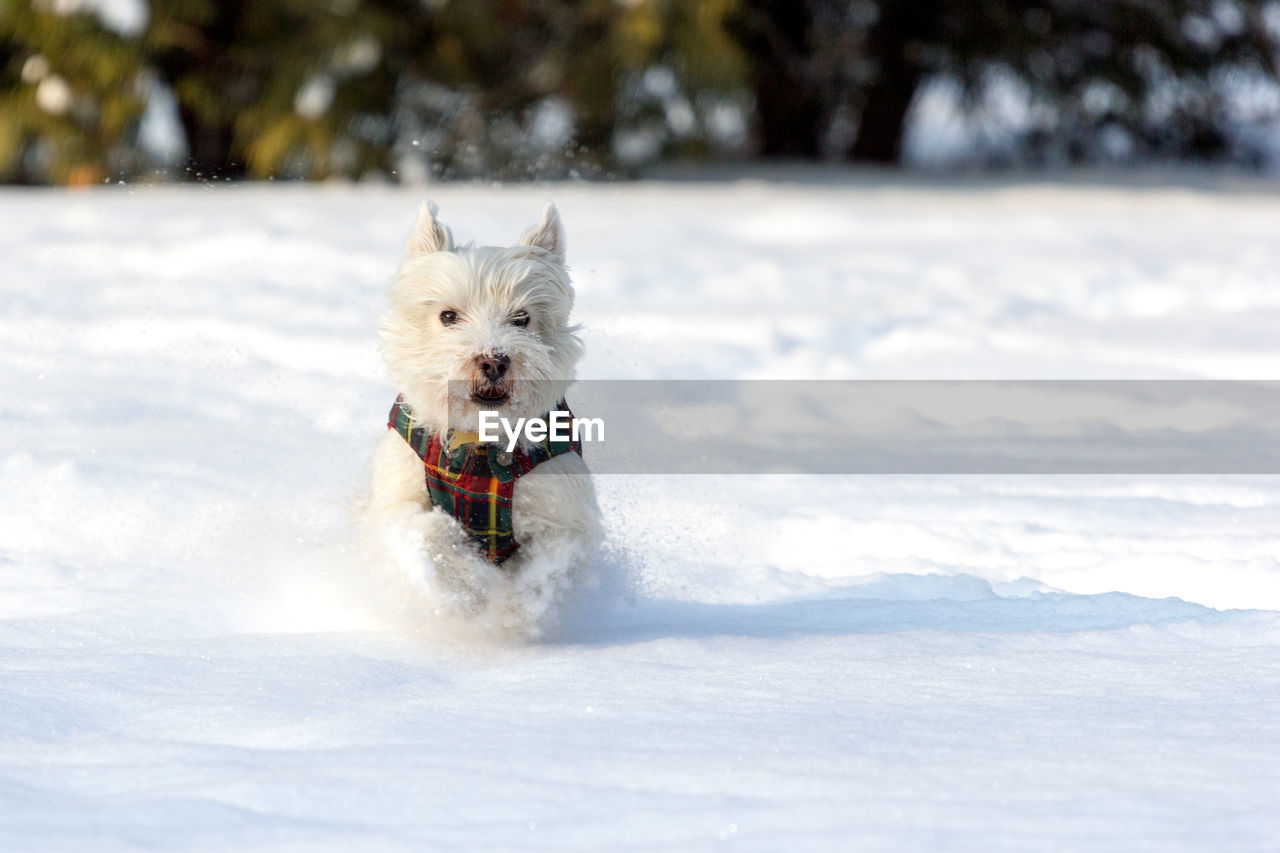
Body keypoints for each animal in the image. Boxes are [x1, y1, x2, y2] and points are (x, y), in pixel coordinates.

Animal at [360, 202, 599, 635]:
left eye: (521, 318)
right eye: (447, 316)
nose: (493, 360)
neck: (478, 441)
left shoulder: (563, 510)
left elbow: (547, 568)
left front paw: (514, 611)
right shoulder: (397, 495)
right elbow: (426, 532)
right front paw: (466, 584)